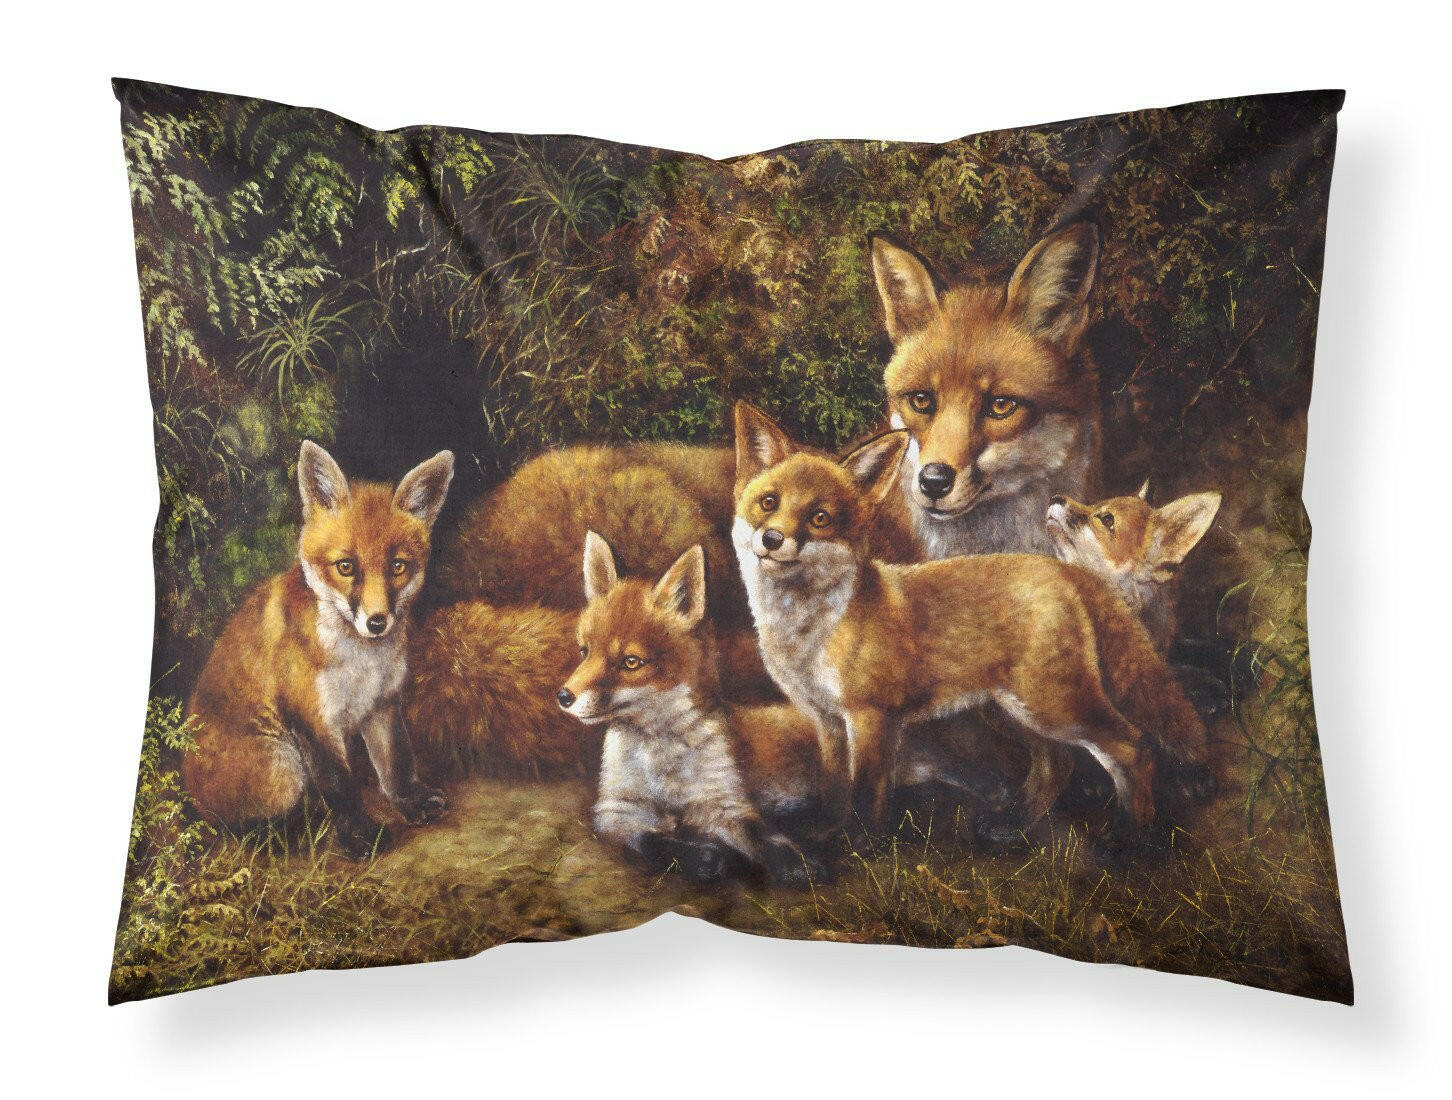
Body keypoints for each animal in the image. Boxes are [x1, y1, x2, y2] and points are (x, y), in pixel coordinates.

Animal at [182, 442, 454, 859]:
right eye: (346, 567)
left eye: (397, 566)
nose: (377, 622)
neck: (362, 663)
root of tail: (190, 795)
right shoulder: (313, 720)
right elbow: (340, 787)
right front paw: (360, 837)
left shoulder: (383, 704)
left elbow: (396, 762)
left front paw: (411, 801)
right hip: (284, 765)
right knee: (235, 828)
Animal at [556, 531, 817, 886]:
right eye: (585, 651)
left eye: (631, 662)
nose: (563, 697)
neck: (660, 758)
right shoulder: (618, 812)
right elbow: (652, 840)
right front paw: (701, 856)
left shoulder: (724, 804)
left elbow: (761, 834)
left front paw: (794, 860)